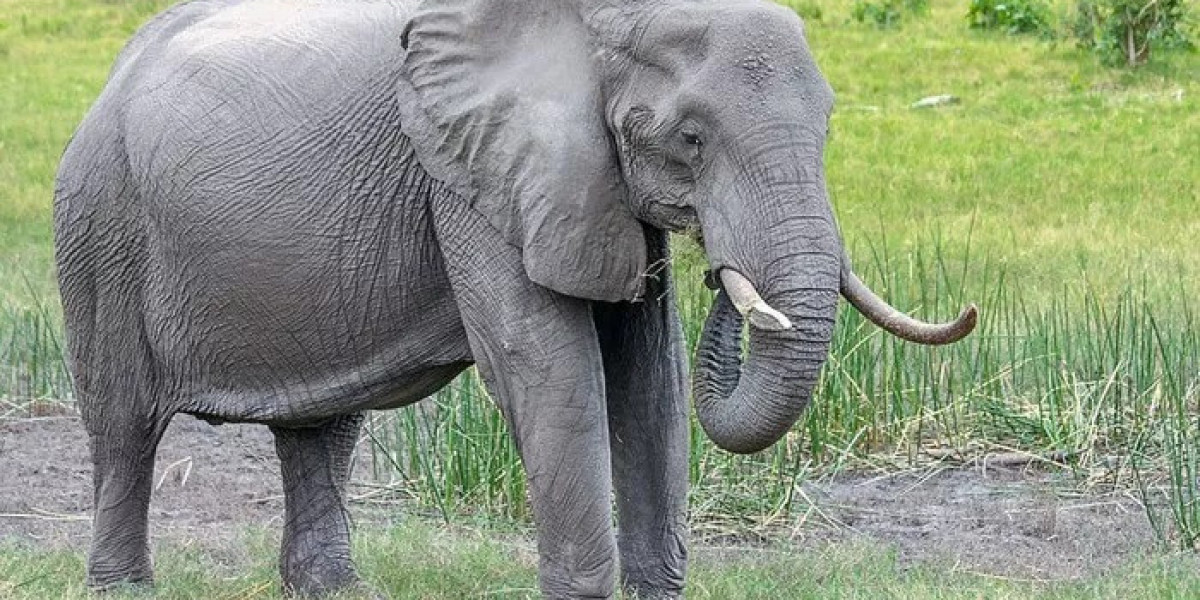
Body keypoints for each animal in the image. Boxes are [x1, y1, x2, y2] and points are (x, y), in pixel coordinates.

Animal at [53, 0, 976, 597]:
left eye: (828, 126)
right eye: (690, 139)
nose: (722, 274)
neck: (596, 21)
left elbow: (652, 378)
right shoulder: (469, 174)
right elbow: (549, 370)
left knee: (323, 425)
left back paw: (336, 591)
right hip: (102, 225)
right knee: (125, 426)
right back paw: (125, 589)